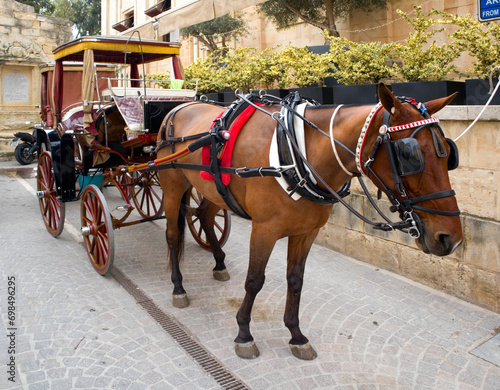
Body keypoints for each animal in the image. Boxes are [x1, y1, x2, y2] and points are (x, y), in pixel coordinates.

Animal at [155, 84, 460, 360]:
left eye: (449, 154)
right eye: (410, 155)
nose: (451, 239)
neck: (295, 153)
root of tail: (179, 108)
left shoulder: (306, 232)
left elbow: (296, 280)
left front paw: (296, 335)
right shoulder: (264, 230)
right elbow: (254, 280)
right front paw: (244, 334)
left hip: (211, 188)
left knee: (205, 215)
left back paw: (219, 262)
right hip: (172, 186)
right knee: (172, 235)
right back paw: (178, 287)